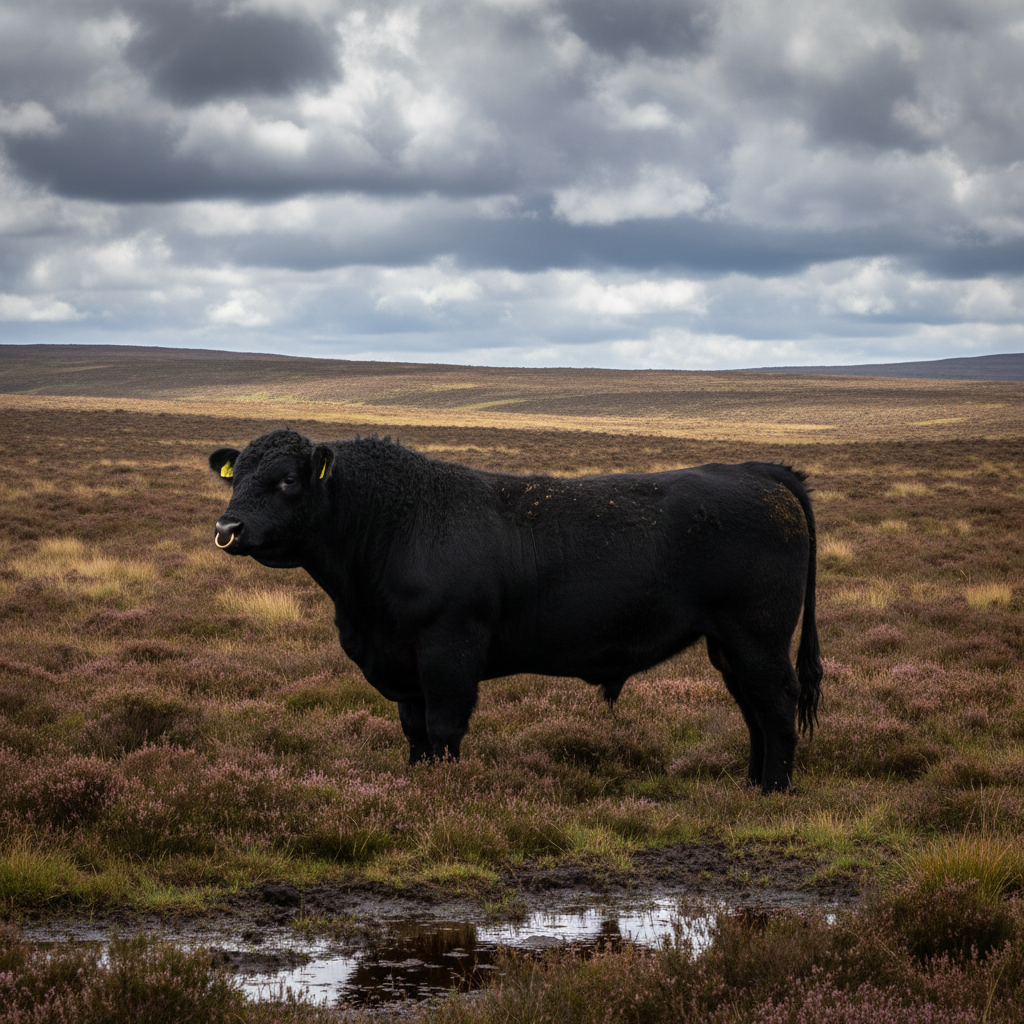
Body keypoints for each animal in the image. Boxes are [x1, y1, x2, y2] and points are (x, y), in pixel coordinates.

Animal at [209, 428, 822, 793]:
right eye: (237, 477)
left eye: (288, 479)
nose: (227, 528)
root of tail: (761, 470)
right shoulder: (403, 663)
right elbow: (414, 731)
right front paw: (417, 785)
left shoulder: (449, 650)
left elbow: (444, 727)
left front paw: (445, 792)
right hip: (728, 645)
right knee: (753, 710)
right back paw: (752, 784)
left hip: (758, 635)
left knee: (777, 703)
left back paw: (776, 789)